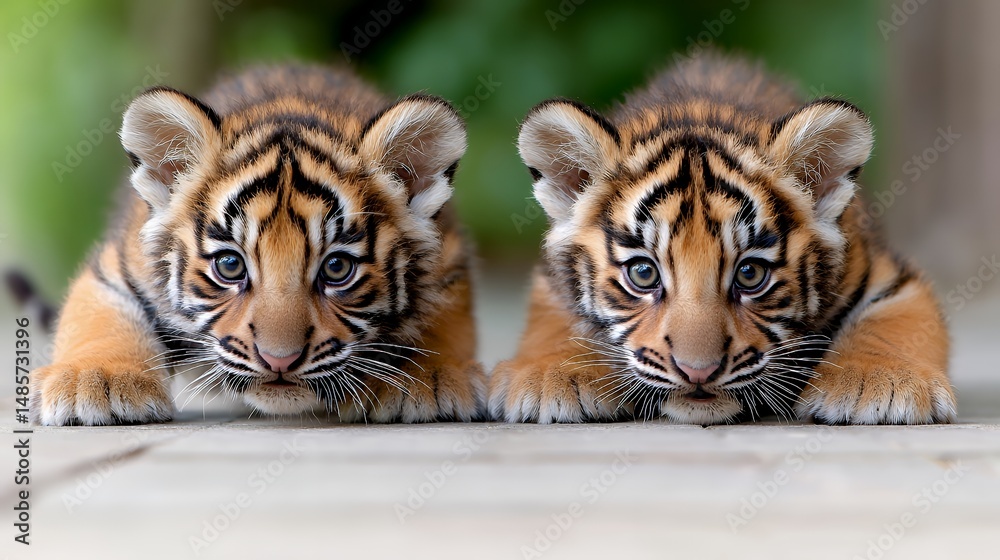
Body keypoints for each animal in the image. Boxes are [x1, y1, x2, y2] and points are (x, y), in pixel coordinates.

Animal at [31, 64, 485, 425]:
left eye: (337, 269)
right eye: (230, 265)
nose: (279, 360)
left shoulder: (447, 263)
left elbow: (441, 322)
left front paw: (430, 379)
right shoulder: (119, 269)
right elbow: (99, 317)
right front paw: (94, 379)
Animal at [489, 54, 957, 425]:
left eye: (750, 275)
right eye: (643, 274)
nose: (698, 372)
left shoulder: (890, 276)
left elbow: (891, 321)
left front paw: (880, 382)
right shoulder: (552, 286)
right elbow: (553, 326)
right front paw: (551, 376)